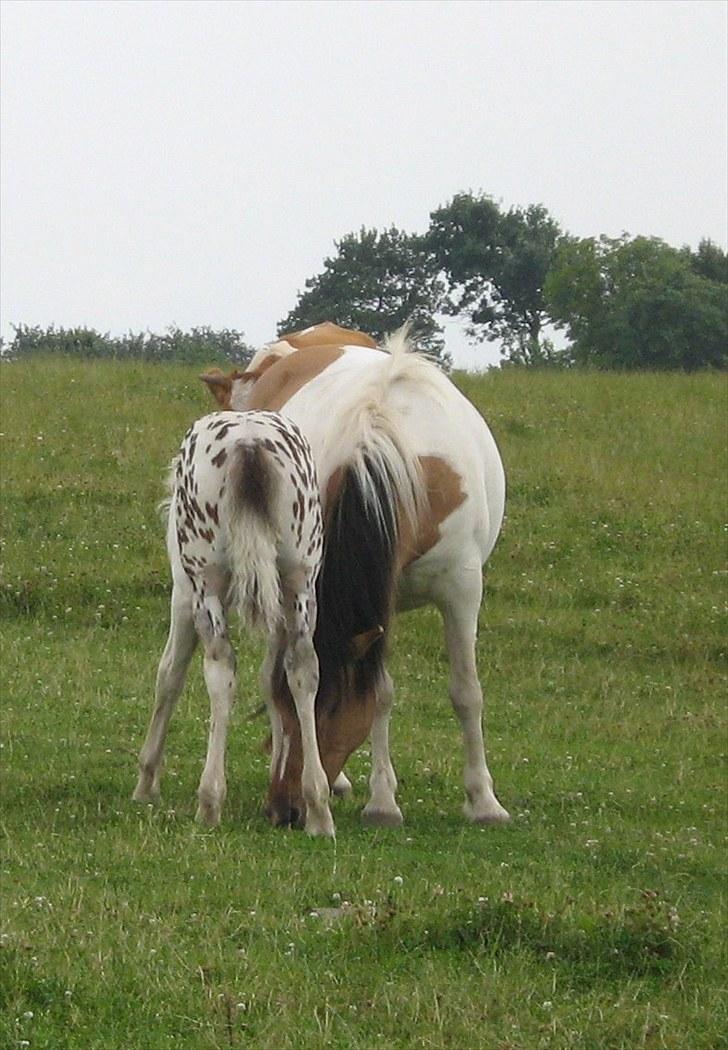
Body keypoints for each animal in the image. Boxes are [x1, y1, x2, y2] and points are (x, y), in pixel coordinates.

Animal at [132, 409, 331, 835]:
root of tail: (249, 445)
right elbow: (272, 680)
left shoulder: (183, 594)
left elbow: (169, 675)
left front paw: (146, 781)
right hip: (299, 580)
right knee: (303, 667)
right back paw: (319, 808)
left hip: (205, 583)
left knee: (221, 669)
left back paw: (210, 800)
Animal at [198, 323, 506, 831]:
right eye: (290, 709)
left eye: (335, 709)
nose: (282, 809)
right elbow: (378, 692)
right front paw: (382, 800)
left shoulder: (461, 588)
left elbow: (467, 693)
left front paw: (483, 801)